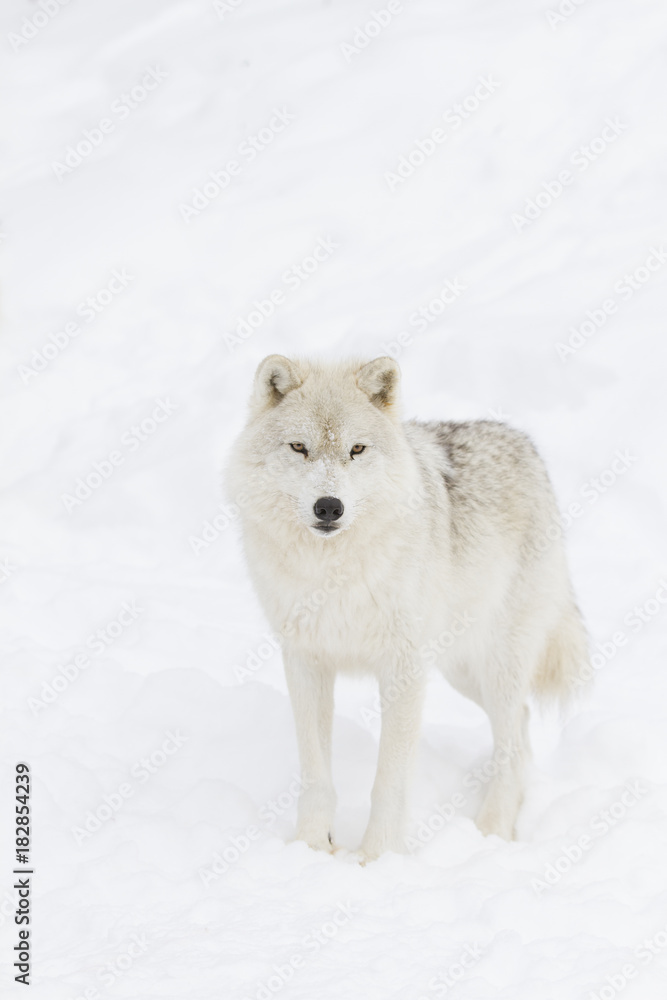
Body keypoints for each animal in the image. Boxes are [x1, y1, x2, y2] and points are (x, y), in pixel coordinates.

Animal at [227, 355, 589, 861]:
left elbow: (390, 779)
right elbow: (316, 774)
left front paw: (377, 858)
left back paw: (491, 833)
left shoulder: (403, 668)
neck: (332, 573)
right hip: (461, 670)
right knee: (522, 722)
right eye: (299, 447)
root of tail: (524, 443)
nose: (329, 506)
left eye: (357, 449)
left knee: (512, 740)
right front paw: (311, 847)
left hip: (494, 664)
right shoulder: (305, 660)